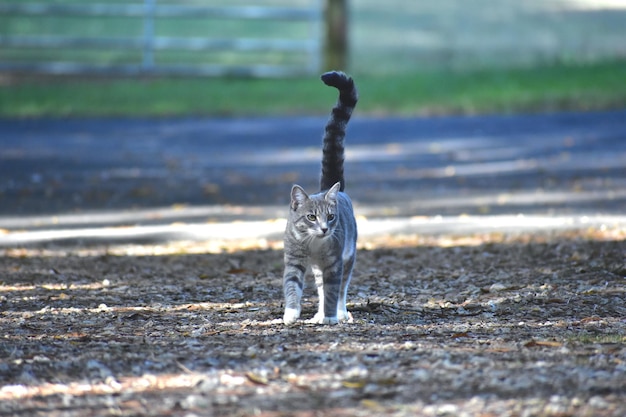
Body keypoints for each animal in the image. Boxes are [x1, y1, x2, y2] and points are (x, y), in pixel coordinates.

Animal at [282, 70, 356, 324]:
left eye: (331, 217)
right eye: (311, 217)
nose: (324, 228)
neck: (313, 243)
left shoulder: (334, 263)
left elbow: (333, 290)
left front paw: (331, 317)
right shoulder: (294, 260)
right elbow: (292, 286)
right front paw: (291, 313)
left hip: (348, 255)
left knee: (341, 288)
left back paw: (339, 313)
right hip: (317, 268)